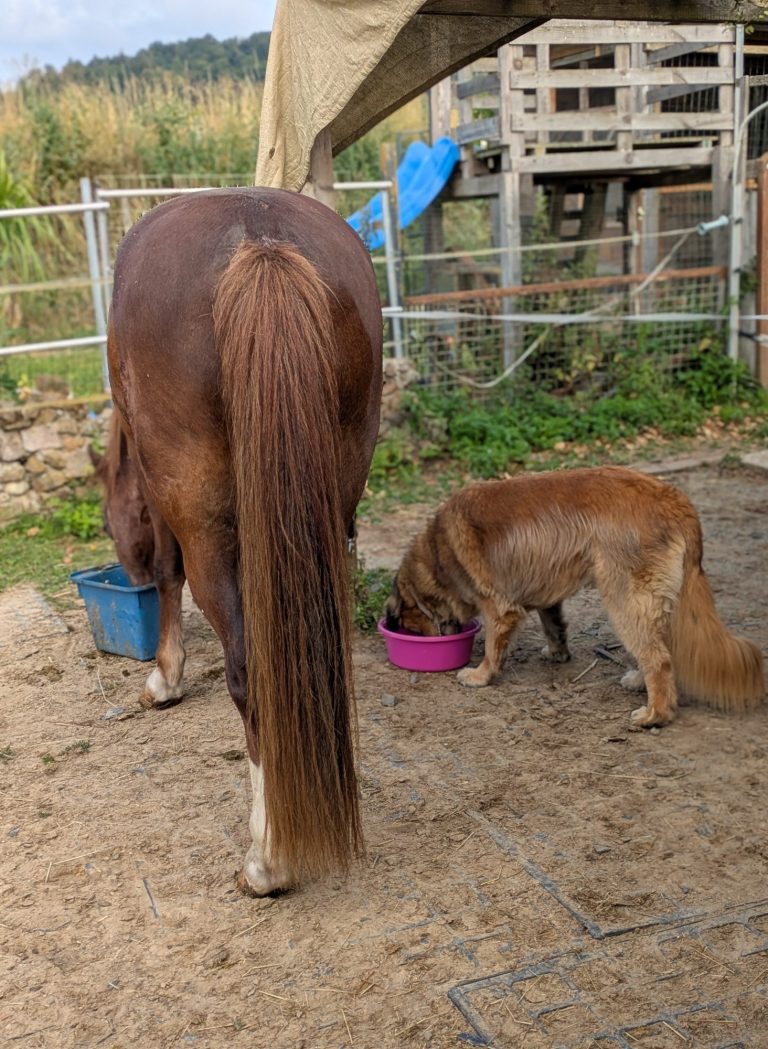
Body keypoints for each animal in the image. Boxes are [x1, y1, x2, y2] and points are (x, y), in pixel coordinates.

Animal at [102, 187, 383, 895]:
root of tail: (259, 240)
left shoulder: (164, 496)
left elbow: (168, 573)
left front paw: (165, 677)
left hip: (208, 525)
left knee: (250, 672)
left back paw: (269, 856)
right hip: (333, 497)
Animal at [385, 466, 764, 728]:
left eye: (408, 627)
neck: (439, 553)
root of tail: (676, 500)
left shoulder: (499, 606)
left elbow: (493, 646)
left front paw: (481, 675)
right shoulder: (546, 596)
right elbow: (554, 626)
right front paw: (557, 653)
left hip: (625, 598)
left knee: (659, 658)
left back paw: (655, 714)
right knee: (662, 648)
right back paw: (639, 682)